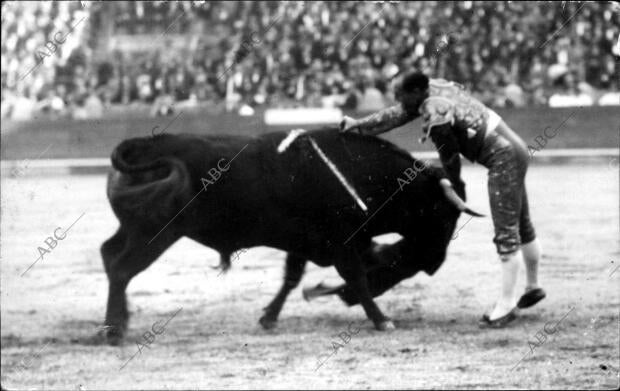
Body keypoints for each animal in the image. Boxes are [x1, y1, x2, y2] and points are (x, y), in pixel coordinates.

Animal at [101, 128, 474, 344]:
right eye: (443, 214)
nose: (434, 263)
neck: (355, 173)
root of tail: (142, 144)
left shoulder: (307, 243)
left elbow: (292, 277)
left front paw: (268, 317)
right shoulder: (341, 243)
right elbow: (356, 278)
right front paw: (382, 320)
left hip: (133, 229)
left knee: (109, 255)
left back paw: (117, 323)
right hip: (154, 233)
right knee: (121, 268)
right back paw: (114, 331)